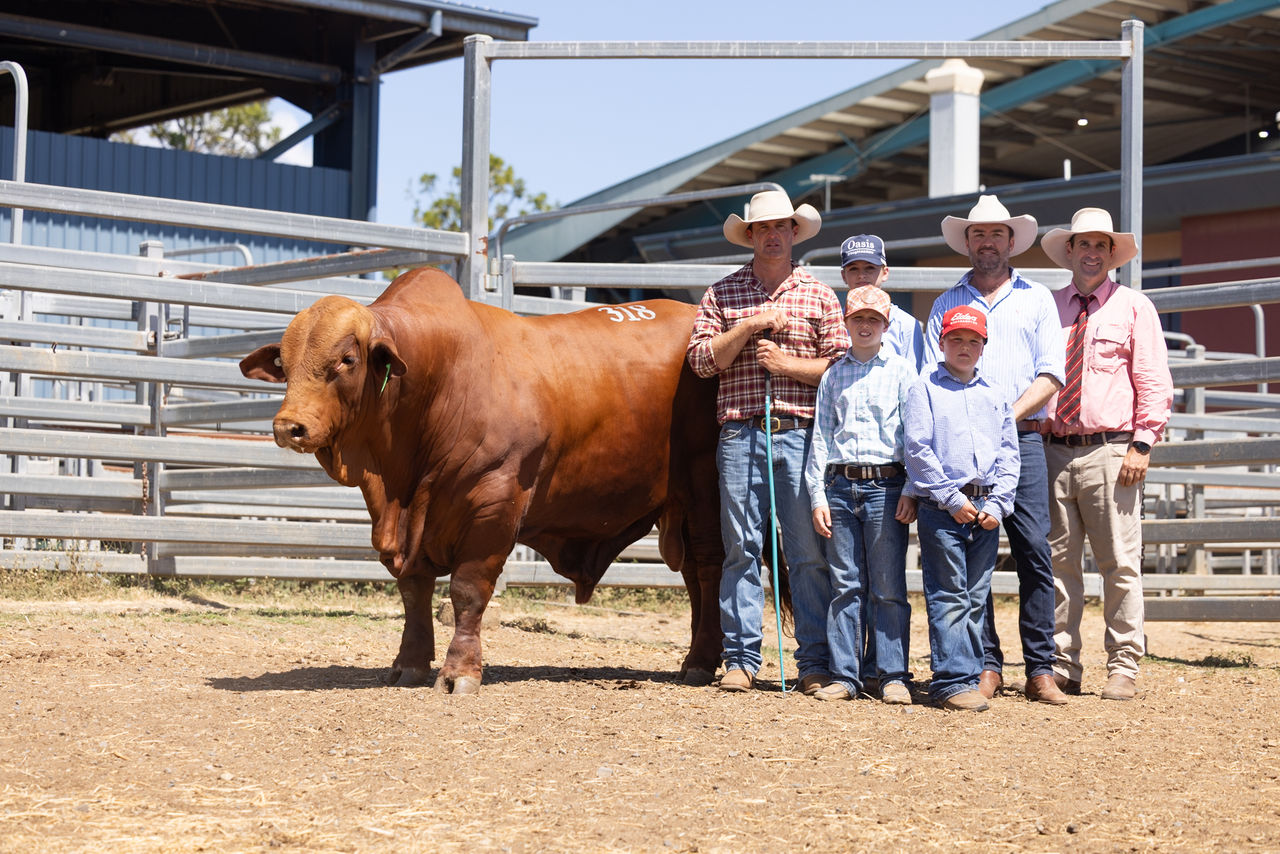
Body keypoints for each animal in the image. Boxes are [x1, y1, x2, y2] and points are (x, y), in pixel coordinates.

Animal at [239, 267, 725, 694]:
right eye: (284, 361)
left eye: (347, 359)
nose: (289, 426)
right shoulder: (410, 525)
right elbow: (413, 592)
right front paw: (408, 665)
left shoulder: (495, 502)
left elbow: (467, 590)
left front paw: (459, 673)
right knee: (693, 578)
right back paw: (698, 660)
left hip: (706, 490)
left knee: (709, 568)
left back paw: (702, 661)